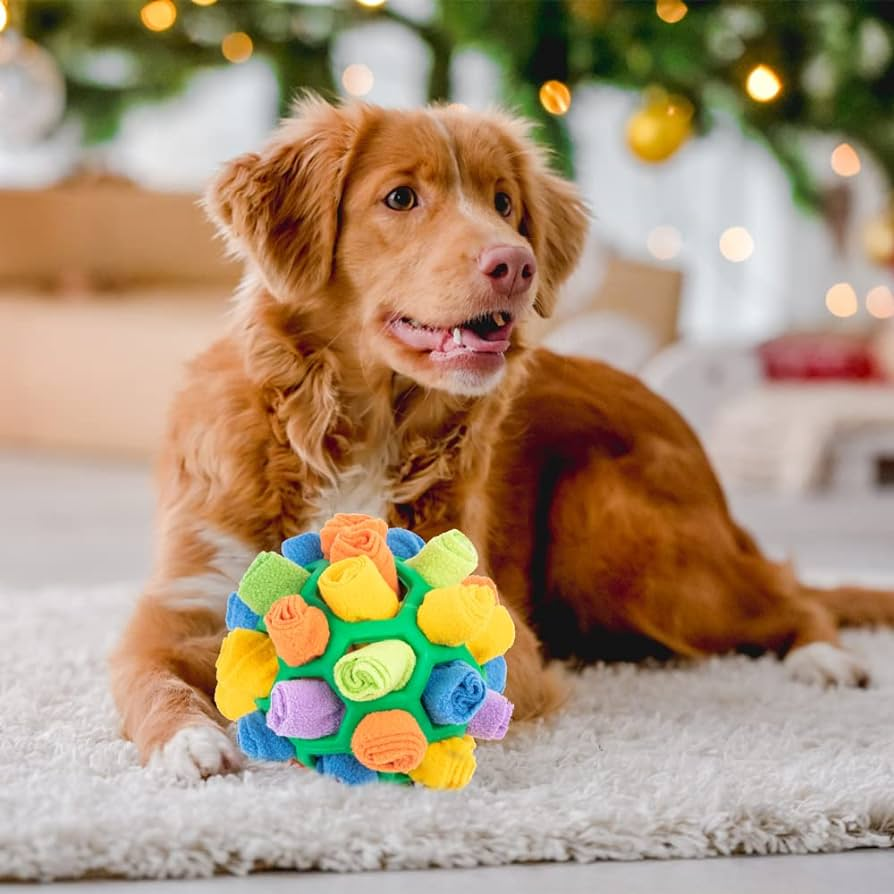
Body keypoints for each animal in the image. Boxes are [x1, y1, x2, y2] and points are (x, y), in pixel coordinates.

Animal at [110, 98, 894, 780]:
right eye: (401, 198)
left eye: (504, 203)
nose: (515, 263)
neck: (358, 432)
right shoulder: (176, 600)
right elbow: (157, 670)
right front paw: (191, 740)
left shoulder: (502, 636)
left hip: (616, 533)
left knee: (791, 596)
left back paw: (823, 658)